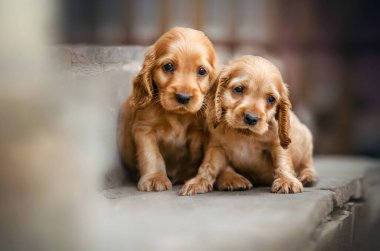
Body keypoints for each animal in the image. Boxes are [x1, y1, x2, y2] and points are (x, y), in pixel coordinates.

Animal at [119, 27, 220, 191]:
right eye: (168, 66)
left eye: (202, 71)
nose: (183, 97)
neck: (178, 116)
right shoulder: (144, 129)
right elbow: (151, 155)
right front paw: (155, 178)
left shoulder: (208, 133)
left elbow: (211, 158)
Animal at [180, 55, 316, 196]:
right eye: (239, 89)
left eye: (271, 99)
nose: (251, 118)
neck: (244, 136)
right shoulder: (216, 146)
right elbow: (208, 165)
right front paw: (198, 182)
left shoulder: (277, 144)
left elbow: (282, 161)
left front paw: (287, 181)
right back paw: (232, 180)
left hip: (307, 139)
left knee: (307, 163)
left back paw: (307, 176)